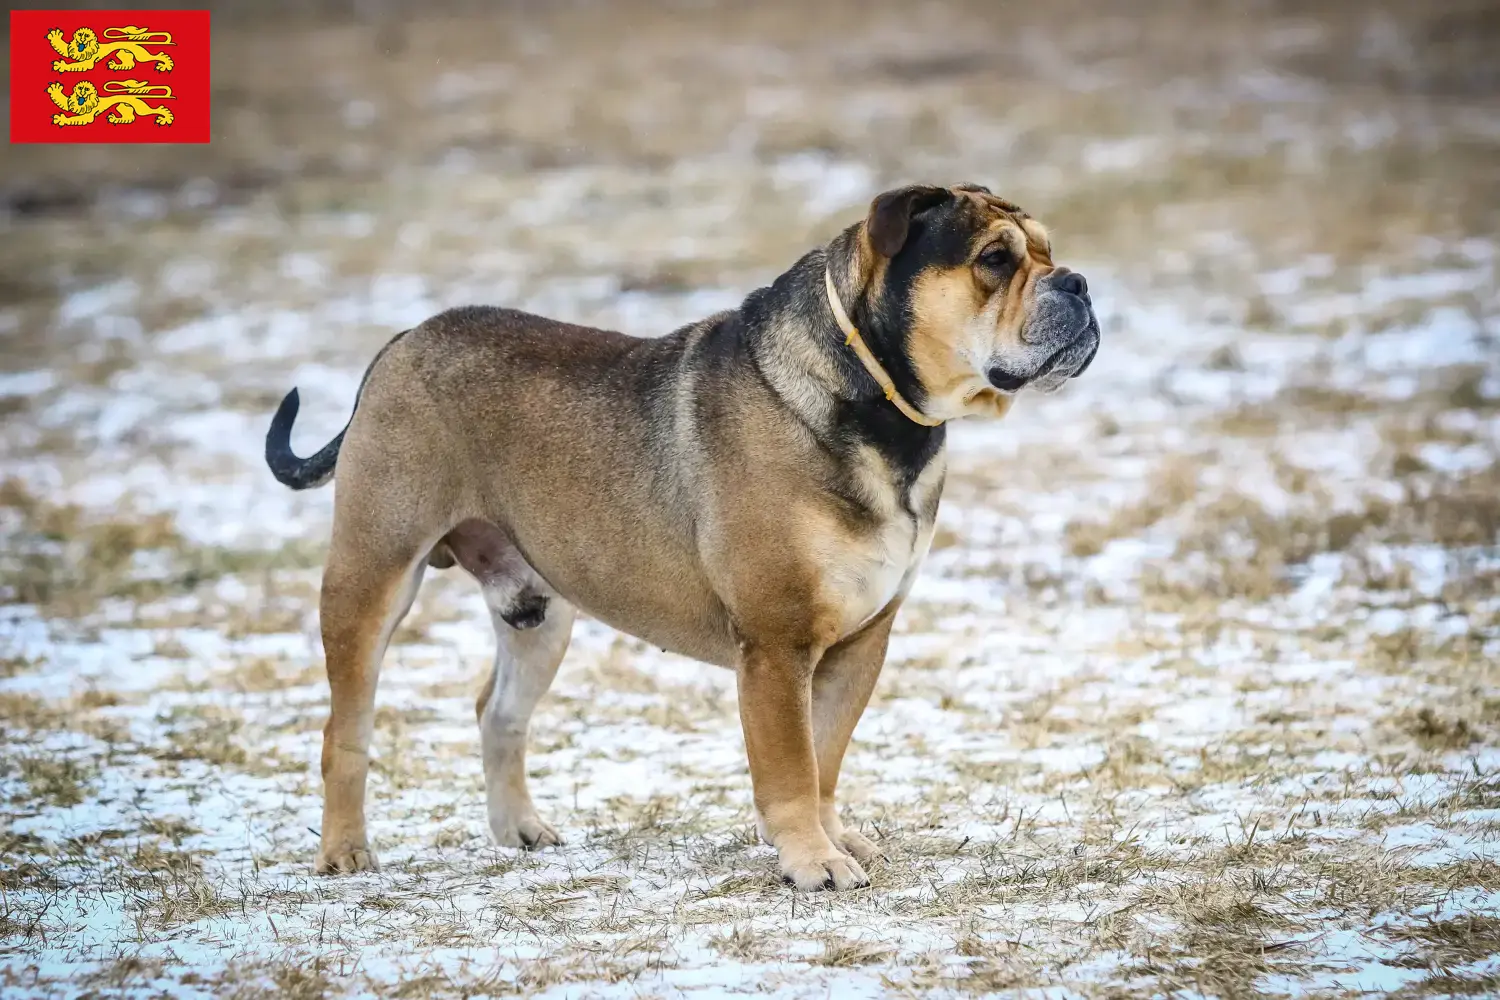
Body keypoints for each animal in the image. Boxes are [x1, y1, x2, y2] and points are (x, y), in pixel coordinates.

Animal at [46, 25, 174, 73]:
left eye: (86, 36)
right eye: (80, 35)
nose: (82, 40)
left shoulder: (88, 62)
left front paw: (62, 66)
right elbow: (64, 47)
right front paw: (55, 36)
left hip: (141, 56)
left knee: (157, 55)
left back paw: (164, 64)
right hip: (122, 53)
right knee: (129, 63)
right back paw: (115, 66)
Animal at [264, 182, 1098, 893]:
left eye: (1048, 250)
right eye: (994, 259)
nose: (1081, 284)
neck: (879, 404)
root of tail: (400, 342)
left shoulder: (862, 641)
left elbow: (826, 757)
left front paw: (835, 837)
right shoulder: (776, 647)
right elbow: (792, 767)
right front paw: (812, 861)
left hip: (540, 611)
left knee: (498, 714)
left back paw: (521, 831)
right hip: (373, 572)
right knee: (345, 727)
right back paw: (345, 852)